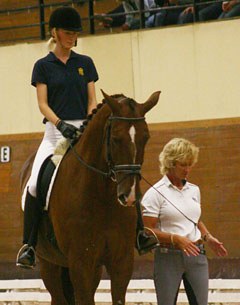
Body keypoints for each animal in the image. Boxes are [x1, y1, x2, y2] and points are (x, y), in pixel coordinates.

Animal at [20, 90, 159, 304]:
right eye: (116, 138)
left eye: (146, 137)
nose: (129, 196)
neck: (102, 197)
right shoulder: (81, 263)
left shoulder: (121, 262)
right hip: (48, 263)